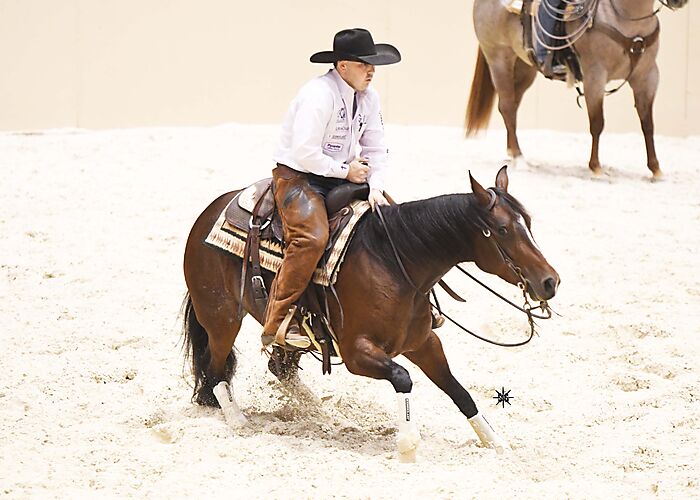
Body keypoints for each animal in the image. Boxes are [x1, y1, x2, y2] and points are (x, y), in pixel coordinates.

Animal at [181, 166, 560, 461]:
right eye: (502, 230)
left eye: (528, 221)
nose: (549, 281)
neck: (393, 260)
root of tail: (206, 216)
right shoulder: (356, 353)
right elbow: (403, 378)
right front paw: (408, 443)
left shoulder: (424, 342)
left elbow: (458, 390)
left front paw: (495, 440)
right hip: (221, 318)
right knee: (215, 370)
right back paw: (237, 420)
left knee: (278, 368)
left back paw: (317, 411)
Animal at [466, 0, 689, 178]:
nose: (680, 2)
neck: (626, 16)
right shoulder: (595, 76)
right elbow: (597, 123)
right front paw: (596, 168)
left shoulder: (647, 76)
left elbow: (648, 124)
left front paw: (656, 169)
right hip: (499, 59)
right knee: (508, 108)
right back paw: (520, 160)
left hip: (523, 67)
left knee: (511, 107)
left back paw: (512, 153)